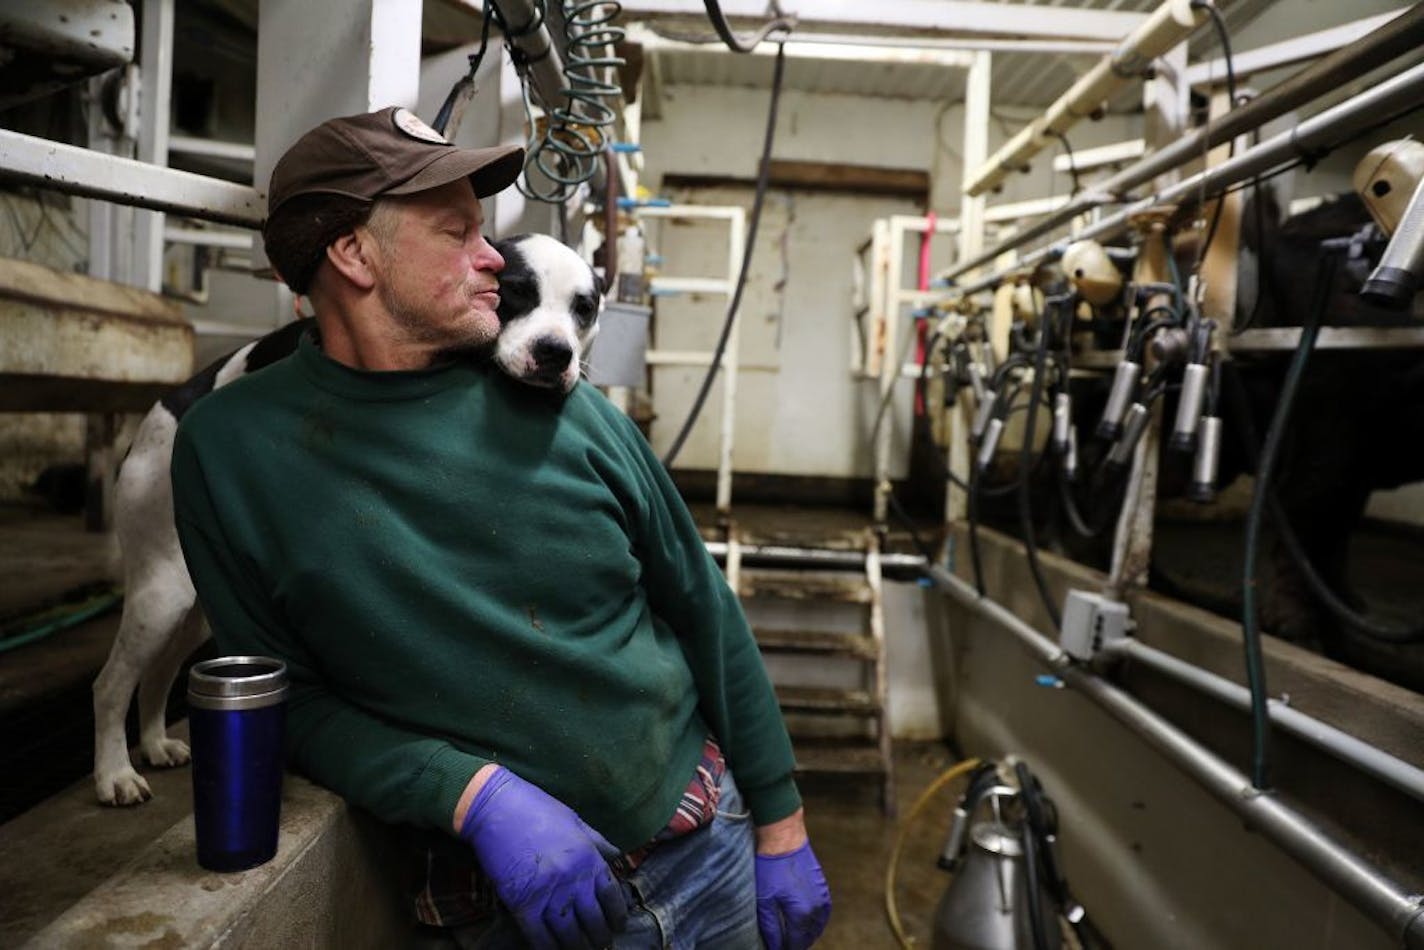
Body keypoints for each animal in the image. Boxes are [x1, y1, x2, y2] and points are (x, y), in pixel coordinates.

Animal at [89, 233, 600, 808]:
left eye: (585, 308)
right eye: (513, 291)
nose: (556, 352)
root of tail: (158, 414)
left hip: (191, 606)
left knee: (158, 671)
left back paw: (155, 743)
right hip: (160, 592)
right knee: (110, 684)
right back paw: (114, 774)